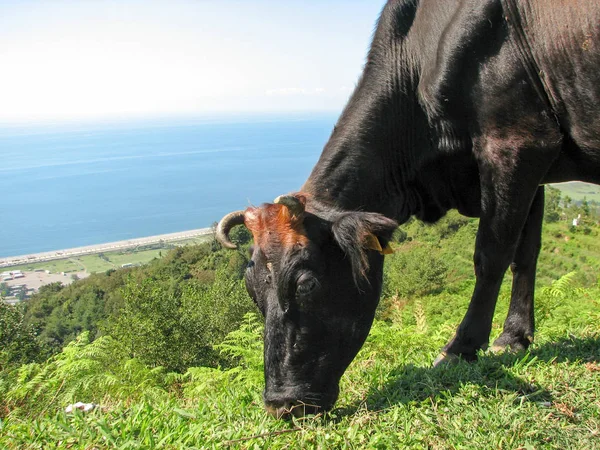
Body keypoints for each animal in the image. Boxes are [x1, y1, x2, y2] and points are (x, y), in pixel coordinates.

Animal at [217, 0, 600, 420]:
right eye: (251, 289)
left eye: (307, 284)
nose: (281, 404)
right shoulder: (535, 166)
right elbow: (525, 254)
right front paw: (514, 336)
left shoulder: (518, 143)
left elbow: (492, 255)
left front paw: (462, 348)